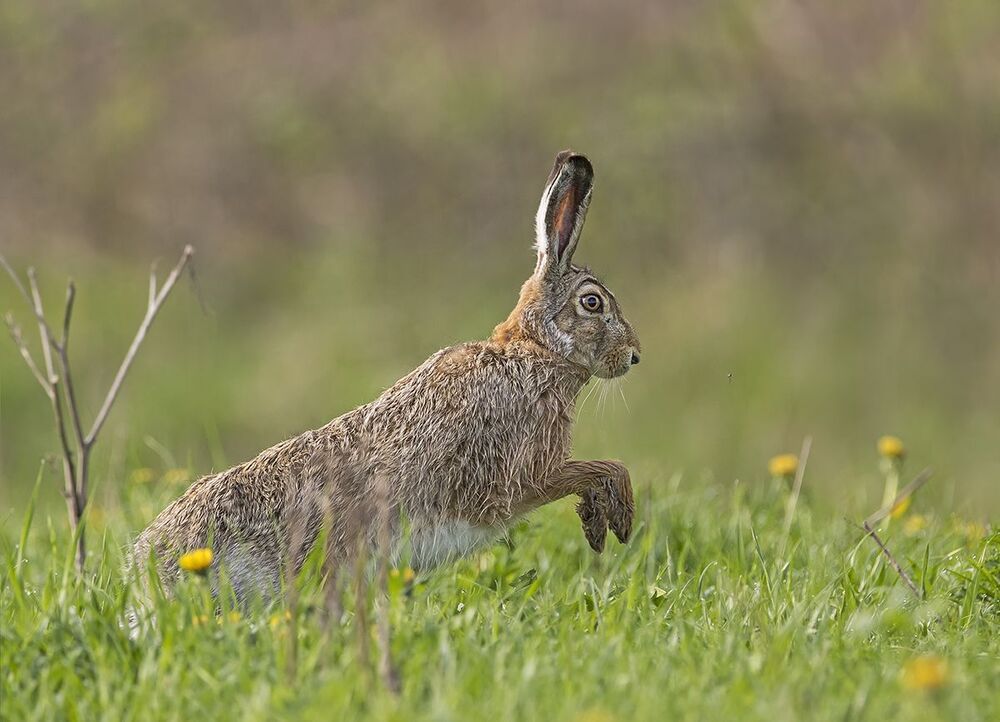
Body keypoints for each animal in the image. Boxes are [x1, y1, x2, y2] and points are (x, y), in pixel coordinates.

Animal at [132, 150, 641, 601]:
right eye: (592, 302)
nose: (634, 356)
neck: (533, 352)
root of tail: (153, 570)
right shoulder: (526, 473)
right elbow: (601, 467)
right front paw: (616, 518)